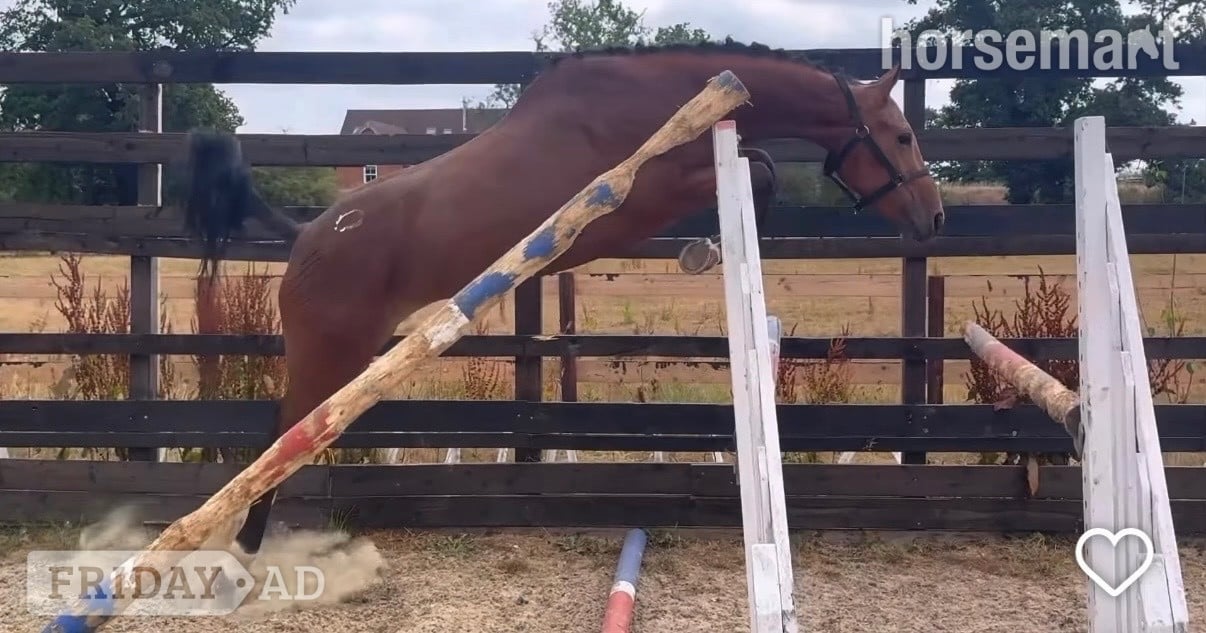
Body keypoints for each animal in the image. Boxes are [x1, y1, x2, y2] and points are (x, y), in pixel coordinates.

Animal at [172, 39, 945, 557]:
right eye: (902, 134)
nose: (933, 216)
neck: (656, 100)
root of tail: (305, 235)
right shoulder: (644, 196)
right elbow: (757, 171)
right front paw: (704, 248)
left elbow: (754, 167)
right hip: (330, 352)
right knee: (281, 438)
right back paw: (245, 547)